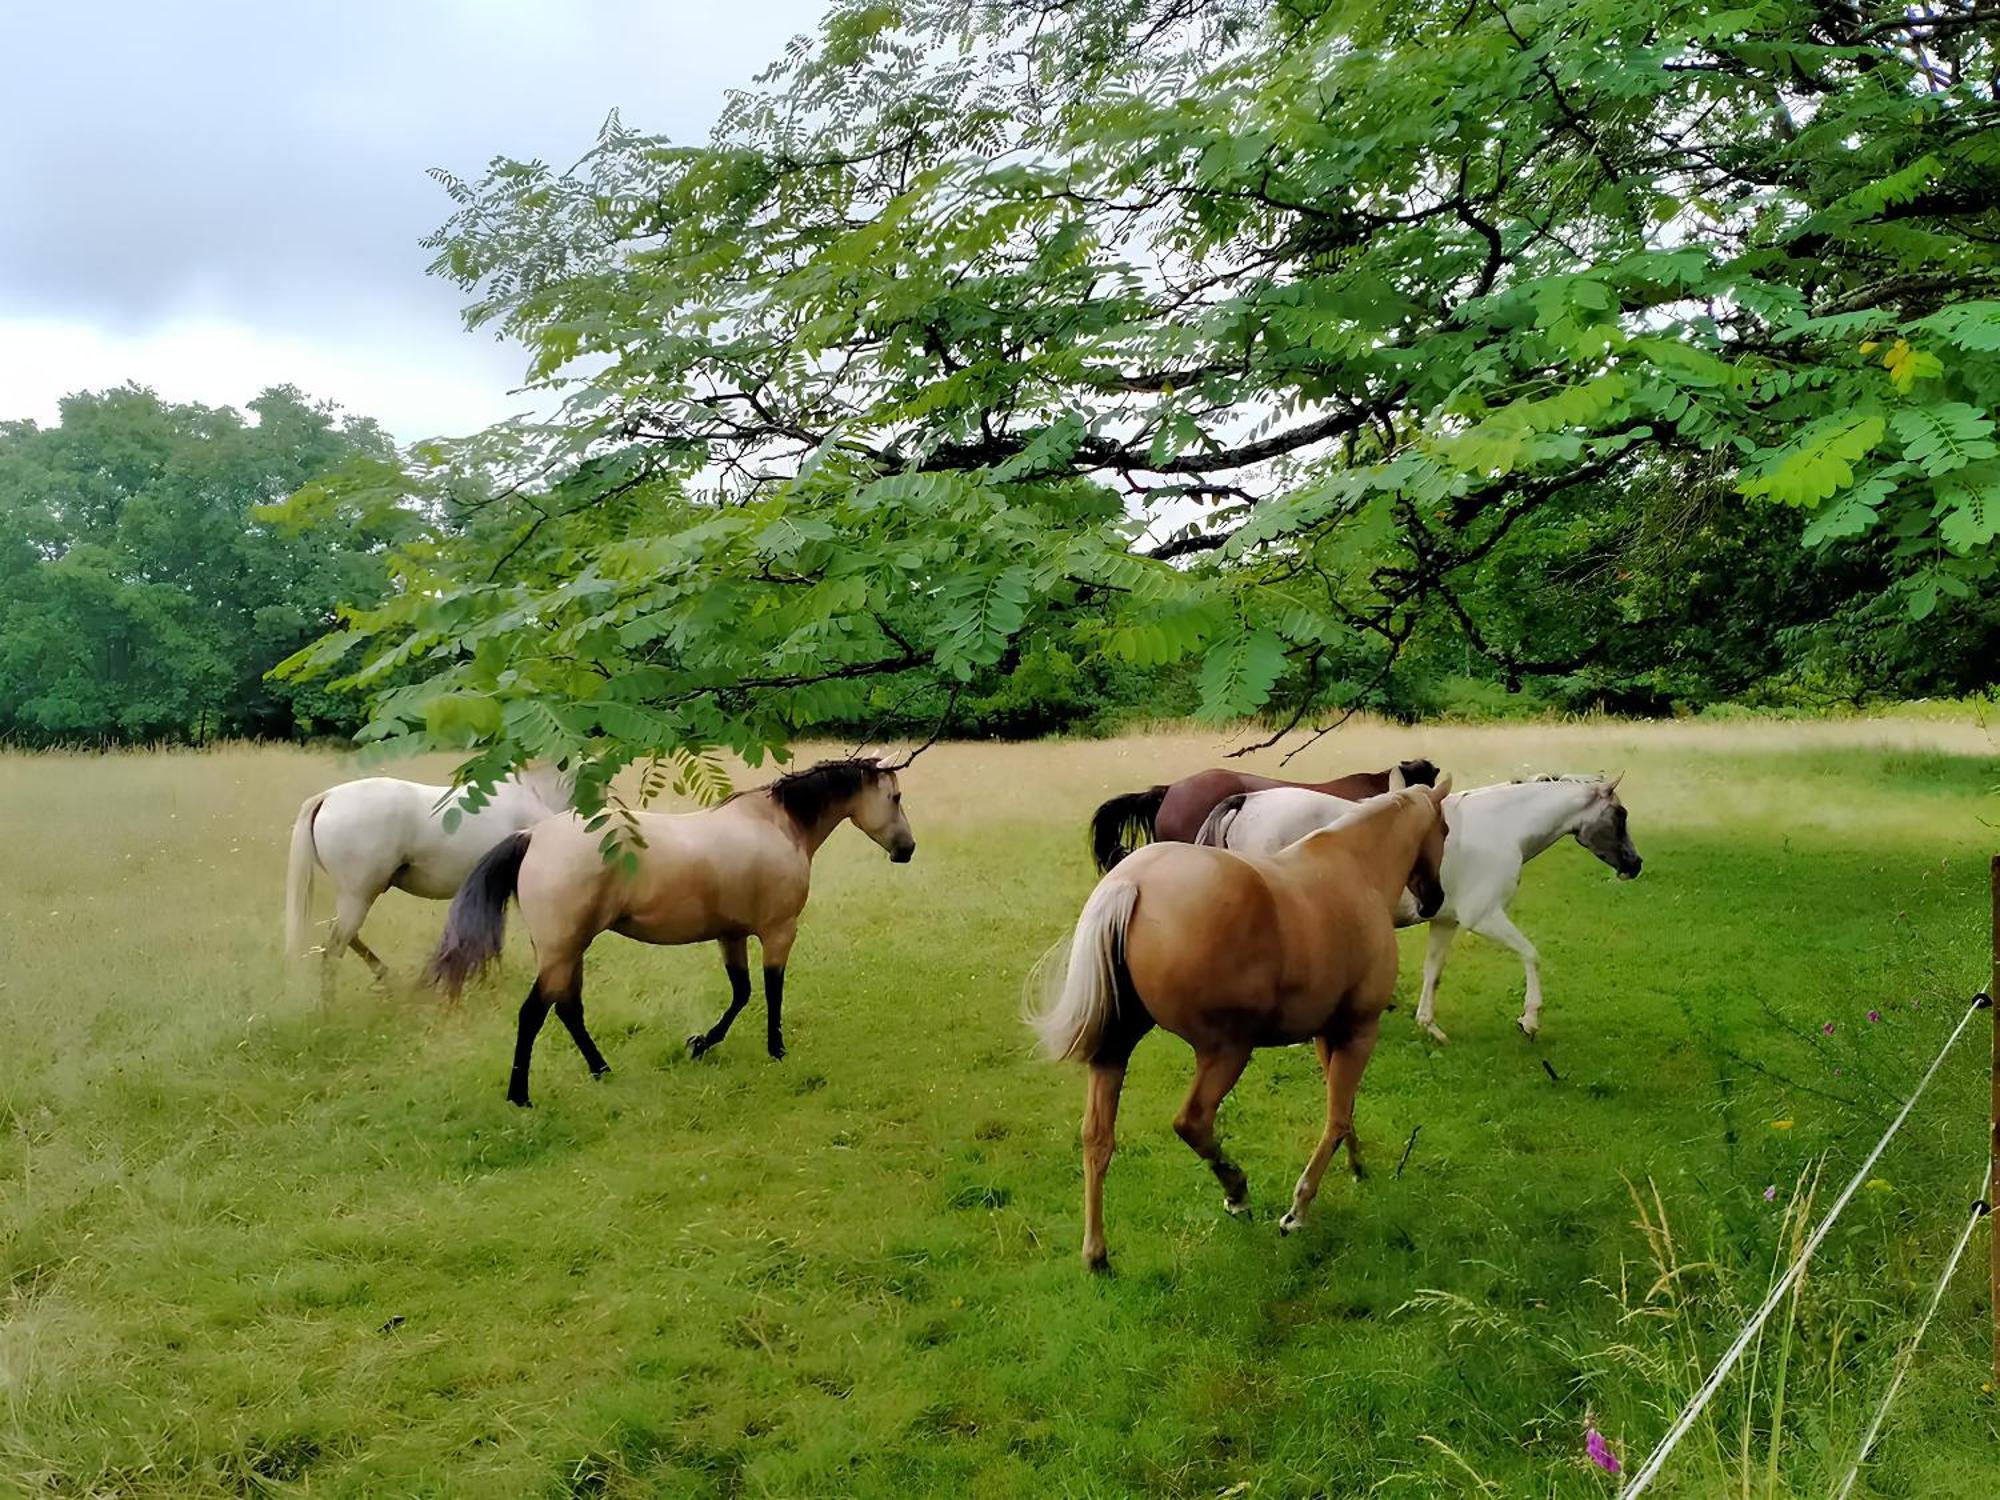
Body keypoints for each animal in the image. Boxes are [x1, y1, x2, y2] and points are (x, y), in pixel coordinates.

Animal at [282, 764, 568, 1000]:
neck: (535, 793)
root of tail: (328, 797)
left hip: (356, 899)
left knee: (344, 939)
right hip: (358, 898)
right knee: (333, 950)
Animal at [434, 764, 916, 1104]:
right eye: (895, 797)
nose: (907, 849)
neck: (777, 825)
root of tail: (532, 835)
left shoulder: (731, 935)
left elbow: (741, 993)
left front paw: (701, 1044)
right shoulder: (779, 932)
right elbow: (771, 991)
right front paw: (775, 1049)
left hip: (567, 952)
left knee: (568, 1010)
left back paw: (601, 1070)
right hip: (561, 952)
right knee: (534, 1014)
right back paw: (520, 1096)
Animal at [1032, 780, 1456, 1272]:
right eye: (1445, 829)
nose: (1433, 900)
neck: (1355, 869)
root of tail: (1131, 882)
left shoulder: (1326, 1035)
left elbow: (1344, 1113)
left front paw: (1358, 1167)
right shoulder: (1360, 1031)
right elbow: (1335, 1118)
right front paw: (1299, 1210)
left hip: (1115, 1050)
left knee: (1097, 1138)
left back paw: (1097, 1254)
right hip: (1227, 1051)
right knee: (1192, 1122)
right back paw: (1236, 1192)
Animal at [1200, 776, 1640, 1048]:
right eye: (1620, 815)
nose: (1634, 865)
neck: (1500, 828)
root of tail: (1249, 800)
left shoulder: (1445, 922)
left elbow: (1433, 972)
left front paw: (1430, 1026)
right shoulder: (1485, 917)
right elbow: (1532, 955)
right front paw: (1530, 1020)